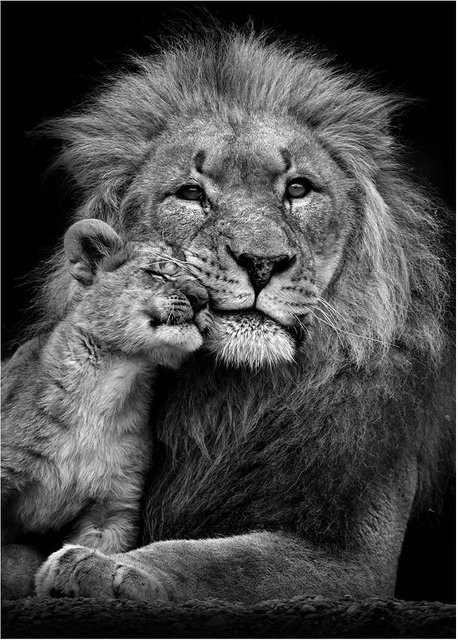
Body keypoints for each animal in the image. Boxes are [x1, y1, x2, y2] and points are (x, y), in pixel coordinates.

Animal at [4, 30, 454, 602]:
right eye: (192, 193)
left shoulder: (356, 561)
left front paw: (103, 567)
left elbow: (220, 561)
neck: (230, 400)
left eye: (298, 188)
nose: (261, 262)